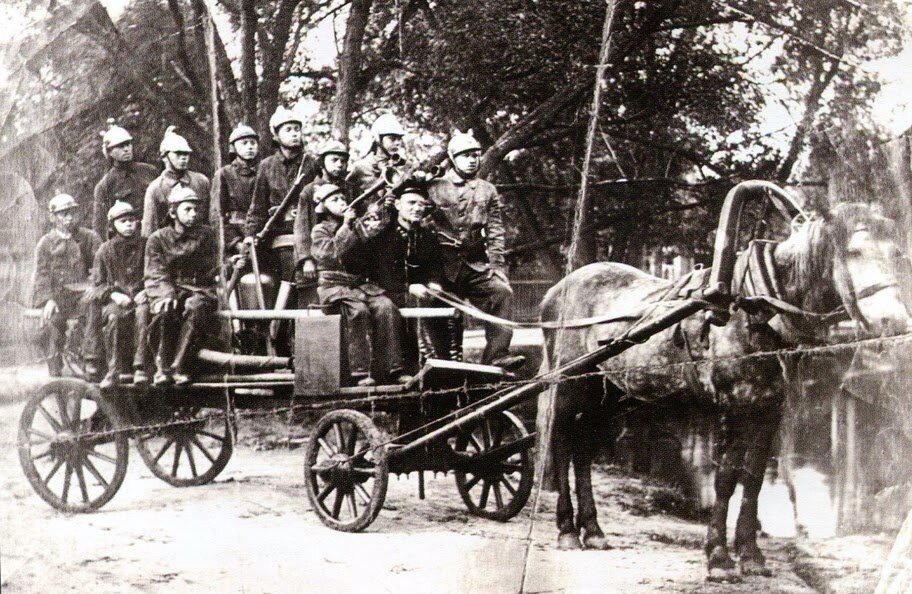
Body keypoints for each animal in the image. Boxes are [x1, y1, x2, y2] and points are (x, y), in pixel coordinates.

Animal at [536, 201, 908, 576]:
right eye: (853, 251)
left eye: (898, 253)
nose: (893, 321)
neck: (757, 308)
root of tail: (557, 289)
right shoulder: (732, 406)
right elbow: (726, 478)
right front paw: (718, 556)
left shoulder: (769, 410)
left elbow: (753, 479)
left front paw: (751, 554)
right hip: (569, 387)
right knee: (562, 442)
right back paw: (567, 531)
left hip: (609, 393)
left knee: (584, 448)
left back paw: (593, 530)